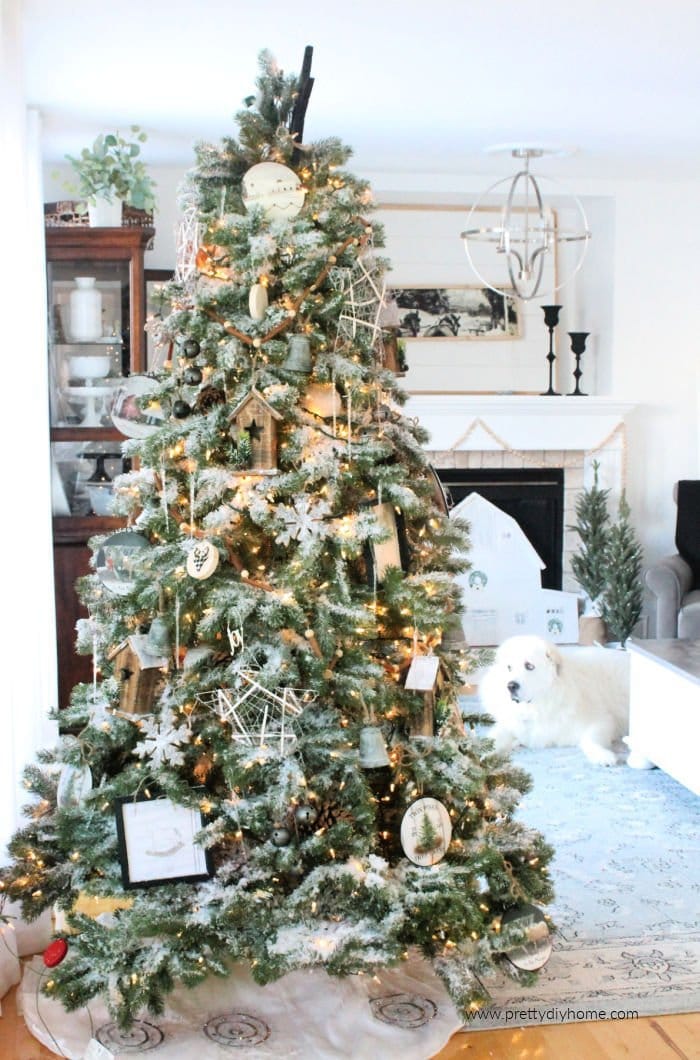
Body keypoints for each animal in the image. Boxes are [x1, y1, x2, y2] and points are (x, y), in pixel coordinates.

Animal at [479, 631, 632, 767]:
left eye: (529, 666)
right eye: (509, 668)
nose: (510, 685)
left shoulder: (600, 721)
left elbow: (591, 740)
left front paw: (602, 755)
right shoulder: (511, 725)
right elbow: (494, 739)